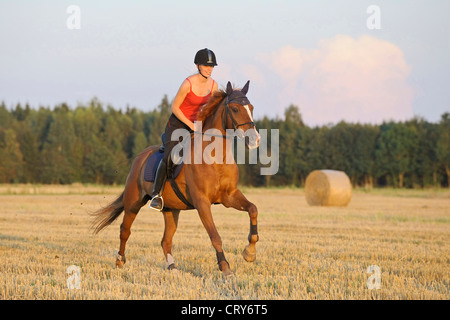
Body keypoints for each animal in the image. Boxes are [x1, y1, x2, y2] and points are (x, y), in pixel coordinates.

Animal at [91, 82, 258, 278]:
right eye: (235, 108)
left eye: (251, 108)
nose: (255, 140)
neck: (216, 157)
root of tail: (141, 157)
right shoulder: (202, 202)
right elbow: (215, 236)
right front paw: (225, 268)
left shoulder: (229, 196)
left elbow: (253, 209)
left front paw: (249, 253)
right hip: (133, 202)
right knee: (125, 230)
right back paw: (119, 261)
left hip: (171, 210)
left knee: (165, 240)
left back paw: (173, 268)